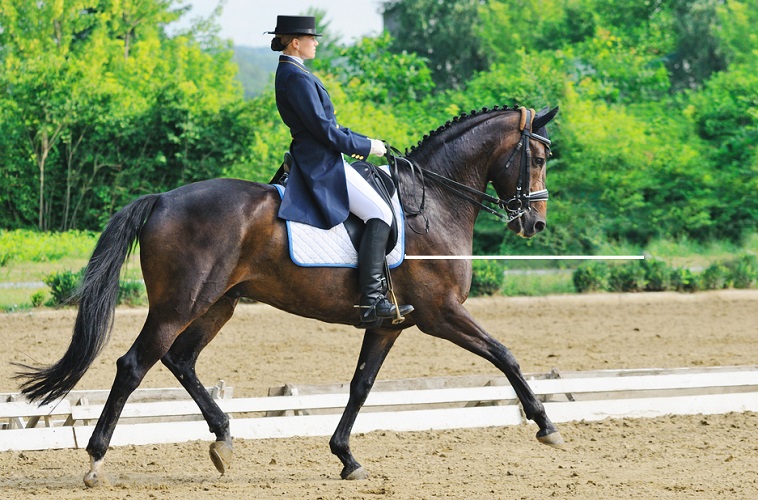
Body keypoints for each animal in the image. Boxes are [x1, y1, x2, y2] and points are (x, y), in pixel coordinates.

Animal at [16, 104, 564, 484]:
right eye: (537, 157)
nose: (534, 223)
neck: (434, 205)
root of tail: (163, 199)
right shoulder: (440, 313)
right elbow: (506, 355)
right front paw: (545, 425)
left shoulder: (390, 322)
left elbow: (361, 385)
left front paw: (346, 457)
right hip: (180, 303)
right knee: (135, 364)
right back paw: (95, 461)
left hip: (218, 304)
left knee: (180, 359)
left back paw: (224, 439)